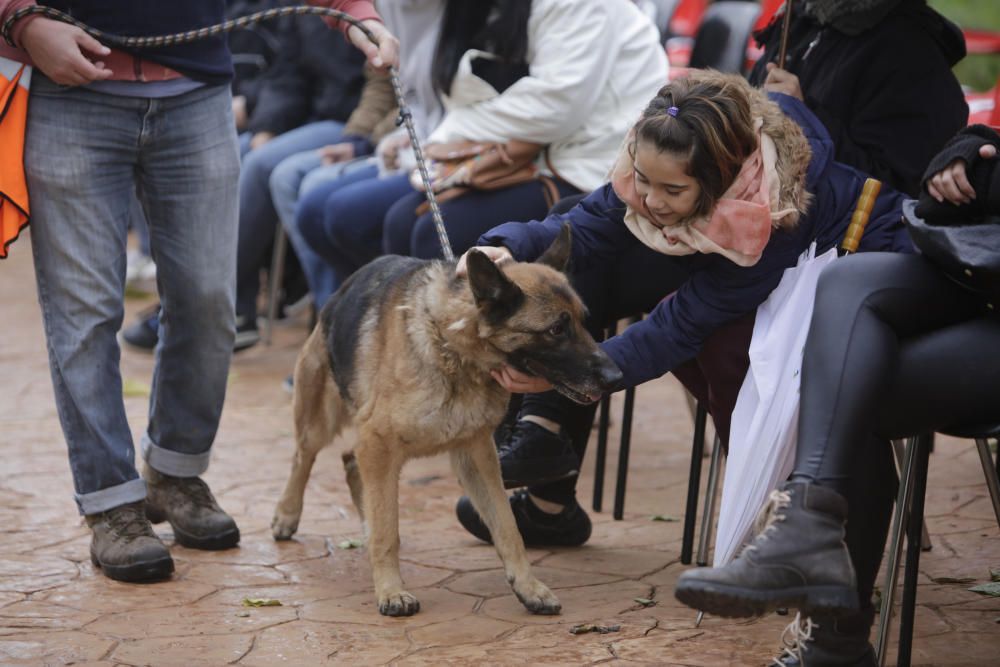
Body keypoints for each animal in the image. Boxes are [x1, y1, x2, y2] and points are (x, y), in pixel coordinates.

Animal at [270, 227, 620, 620]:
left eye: (584, 321)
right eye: (557, 329)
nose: (617, 376)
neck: (453, 349)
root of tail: (341, 290)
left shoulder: (478, 456)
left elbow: (507, 526)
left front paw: (528, 587)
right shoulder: (378, 442)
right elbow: (388, 531)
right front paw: (391, 590)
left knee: (350, 463)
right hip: (320, 421)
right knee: (303, 457)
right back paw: (287, 514)